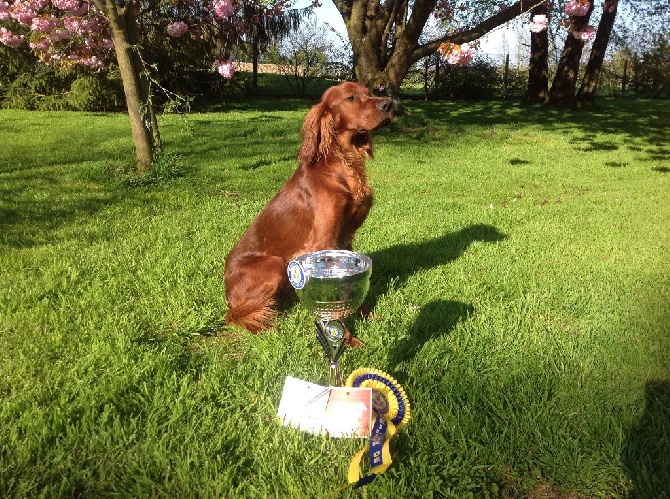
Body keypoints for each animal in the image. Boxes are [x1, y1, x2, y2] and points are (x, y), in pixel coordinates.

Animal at [224, 82, 394, 332]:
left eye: (369, 92)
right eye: (350, 98)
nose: (389, 104)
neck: (342, 164)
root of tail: (227, 293)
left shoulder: (346, 237)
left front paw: (367, 316)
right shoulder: (323, 240)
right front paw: (343, 331)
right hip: (275, 265)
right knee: (242, 314)